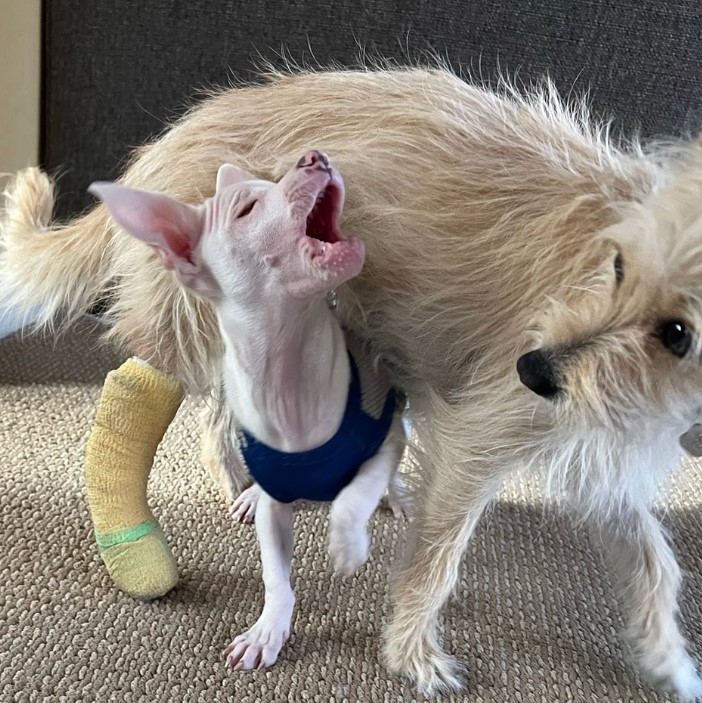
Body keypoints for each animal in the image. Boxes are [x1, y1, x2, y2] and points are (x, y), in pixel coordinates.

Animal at [1, 64, 702, 700]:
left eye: (678, 335)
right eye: (618, 265)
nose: (531, 368)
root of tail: (179, 131)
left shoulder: (598, 453)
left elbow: (656, 563)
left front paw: (669, 661)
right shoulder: (483, 435)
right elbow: (439, 559)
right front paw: (412, 653)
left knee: (224, 407)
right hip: (206, 312)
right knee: (165, 390)